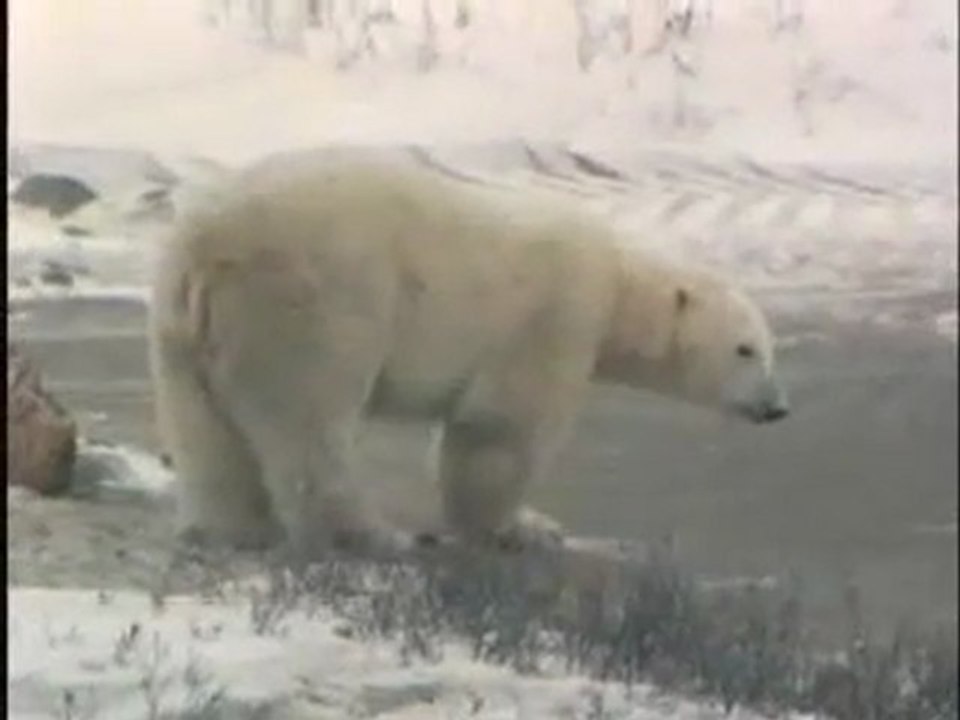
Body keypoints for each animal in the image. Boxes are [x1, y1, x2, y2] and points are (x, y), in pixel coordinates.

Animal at [148, 149, 789, 558]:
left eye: (768, 351)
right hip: (315, 299)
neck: (617, 283)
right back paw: (372, 535)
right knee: (311, 423)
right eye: (745, 349)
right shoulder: (554, 318)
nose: (776, 407)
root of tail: (209, 247)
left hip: (181, 323)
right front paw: (525, 527)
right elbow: (500, 428)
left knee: (204, 429)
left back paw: (230, 529)